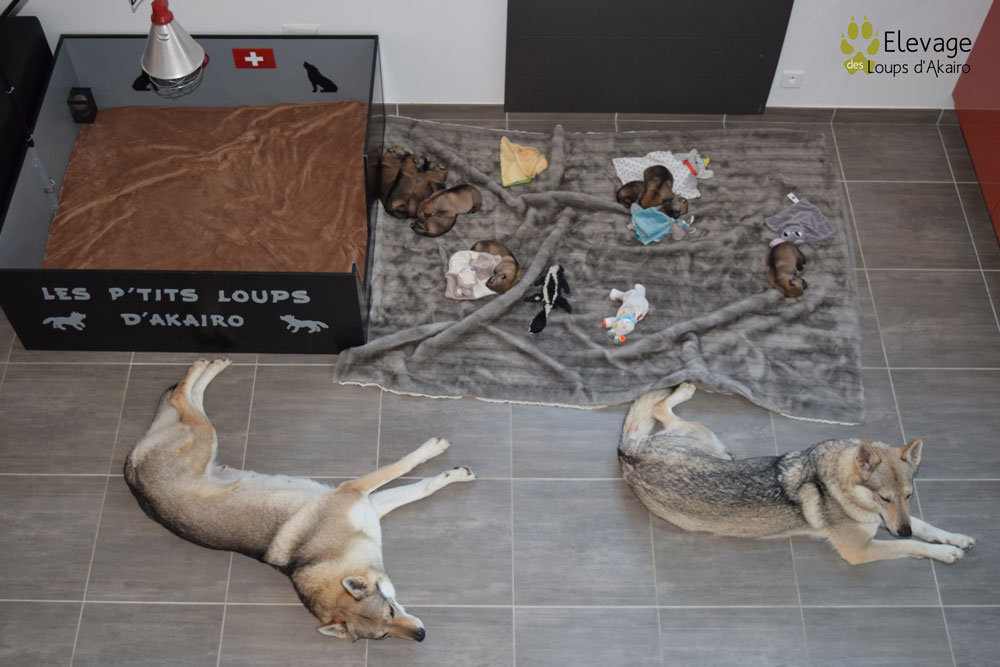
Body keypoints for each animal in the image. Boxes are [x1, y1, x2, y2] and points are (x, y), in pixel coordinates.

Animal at [124, 359, 476, 641]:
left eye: (390, 613)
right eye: (383, 634)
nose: (421, 635)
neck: (328, 555)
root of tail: (130, 473)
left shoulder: (366, 503)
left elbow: (416, 480)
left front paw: (446, 465)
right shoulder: (358, 495)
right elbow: (405, 472)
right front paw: (439, 457)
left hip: (205, 440)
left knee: (183, 398)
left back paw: (210, 365)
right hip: (203, 438)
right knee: (179, 398)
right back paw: (206, 367)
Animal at [618, 383, 976, 565]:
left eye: (909, 496)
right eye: (883, 497)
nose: (900, 530)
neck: (835, 483)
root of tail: (628, 452)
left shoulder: (892, 519)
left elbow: (925, 527)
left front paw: (956, 538)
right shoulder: (861, 550)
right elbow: (913, 546)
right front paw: (945, 552)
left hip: (706, 439)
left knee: (656, 409)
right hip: (706, 435)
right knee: (658, 407)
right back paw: (686, 388)